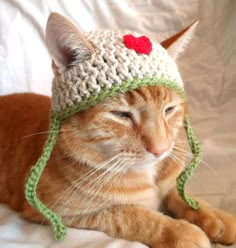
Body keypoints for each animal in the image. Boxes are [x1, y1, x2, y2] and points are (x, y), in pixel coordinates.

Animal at [0, 13, 235, 248]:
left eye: (169, 110)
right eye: (122, 115)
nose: (160, 149)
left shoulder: (168, 185)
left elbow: (182, 195)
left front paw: (218, 218)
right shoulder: (58, 212)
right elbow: (132, 215)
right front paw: (181, 231)